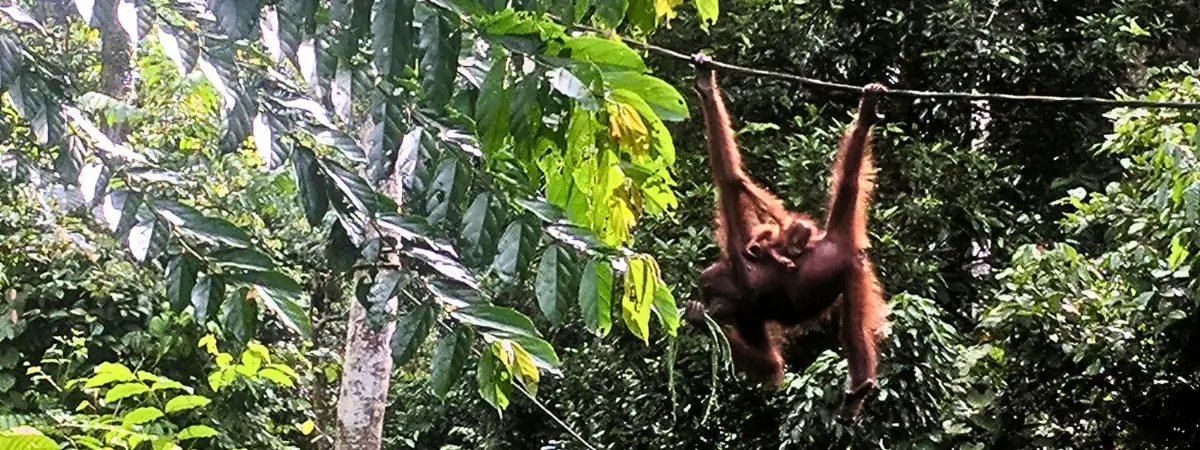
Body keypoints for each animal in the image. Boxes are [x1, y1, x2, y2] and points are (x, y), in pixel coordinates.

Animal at [684, 53, 889, 423]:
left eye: (710, 292)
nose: (710, 306)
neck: (743, 287)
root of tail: (833, 240)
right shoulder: (746, 315)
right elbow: (771, 365)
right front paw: (697, 319)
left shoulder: (739, 255)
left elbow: (728, 178)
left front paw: (705, 85)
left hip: (852, 270)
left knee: (853, 330)